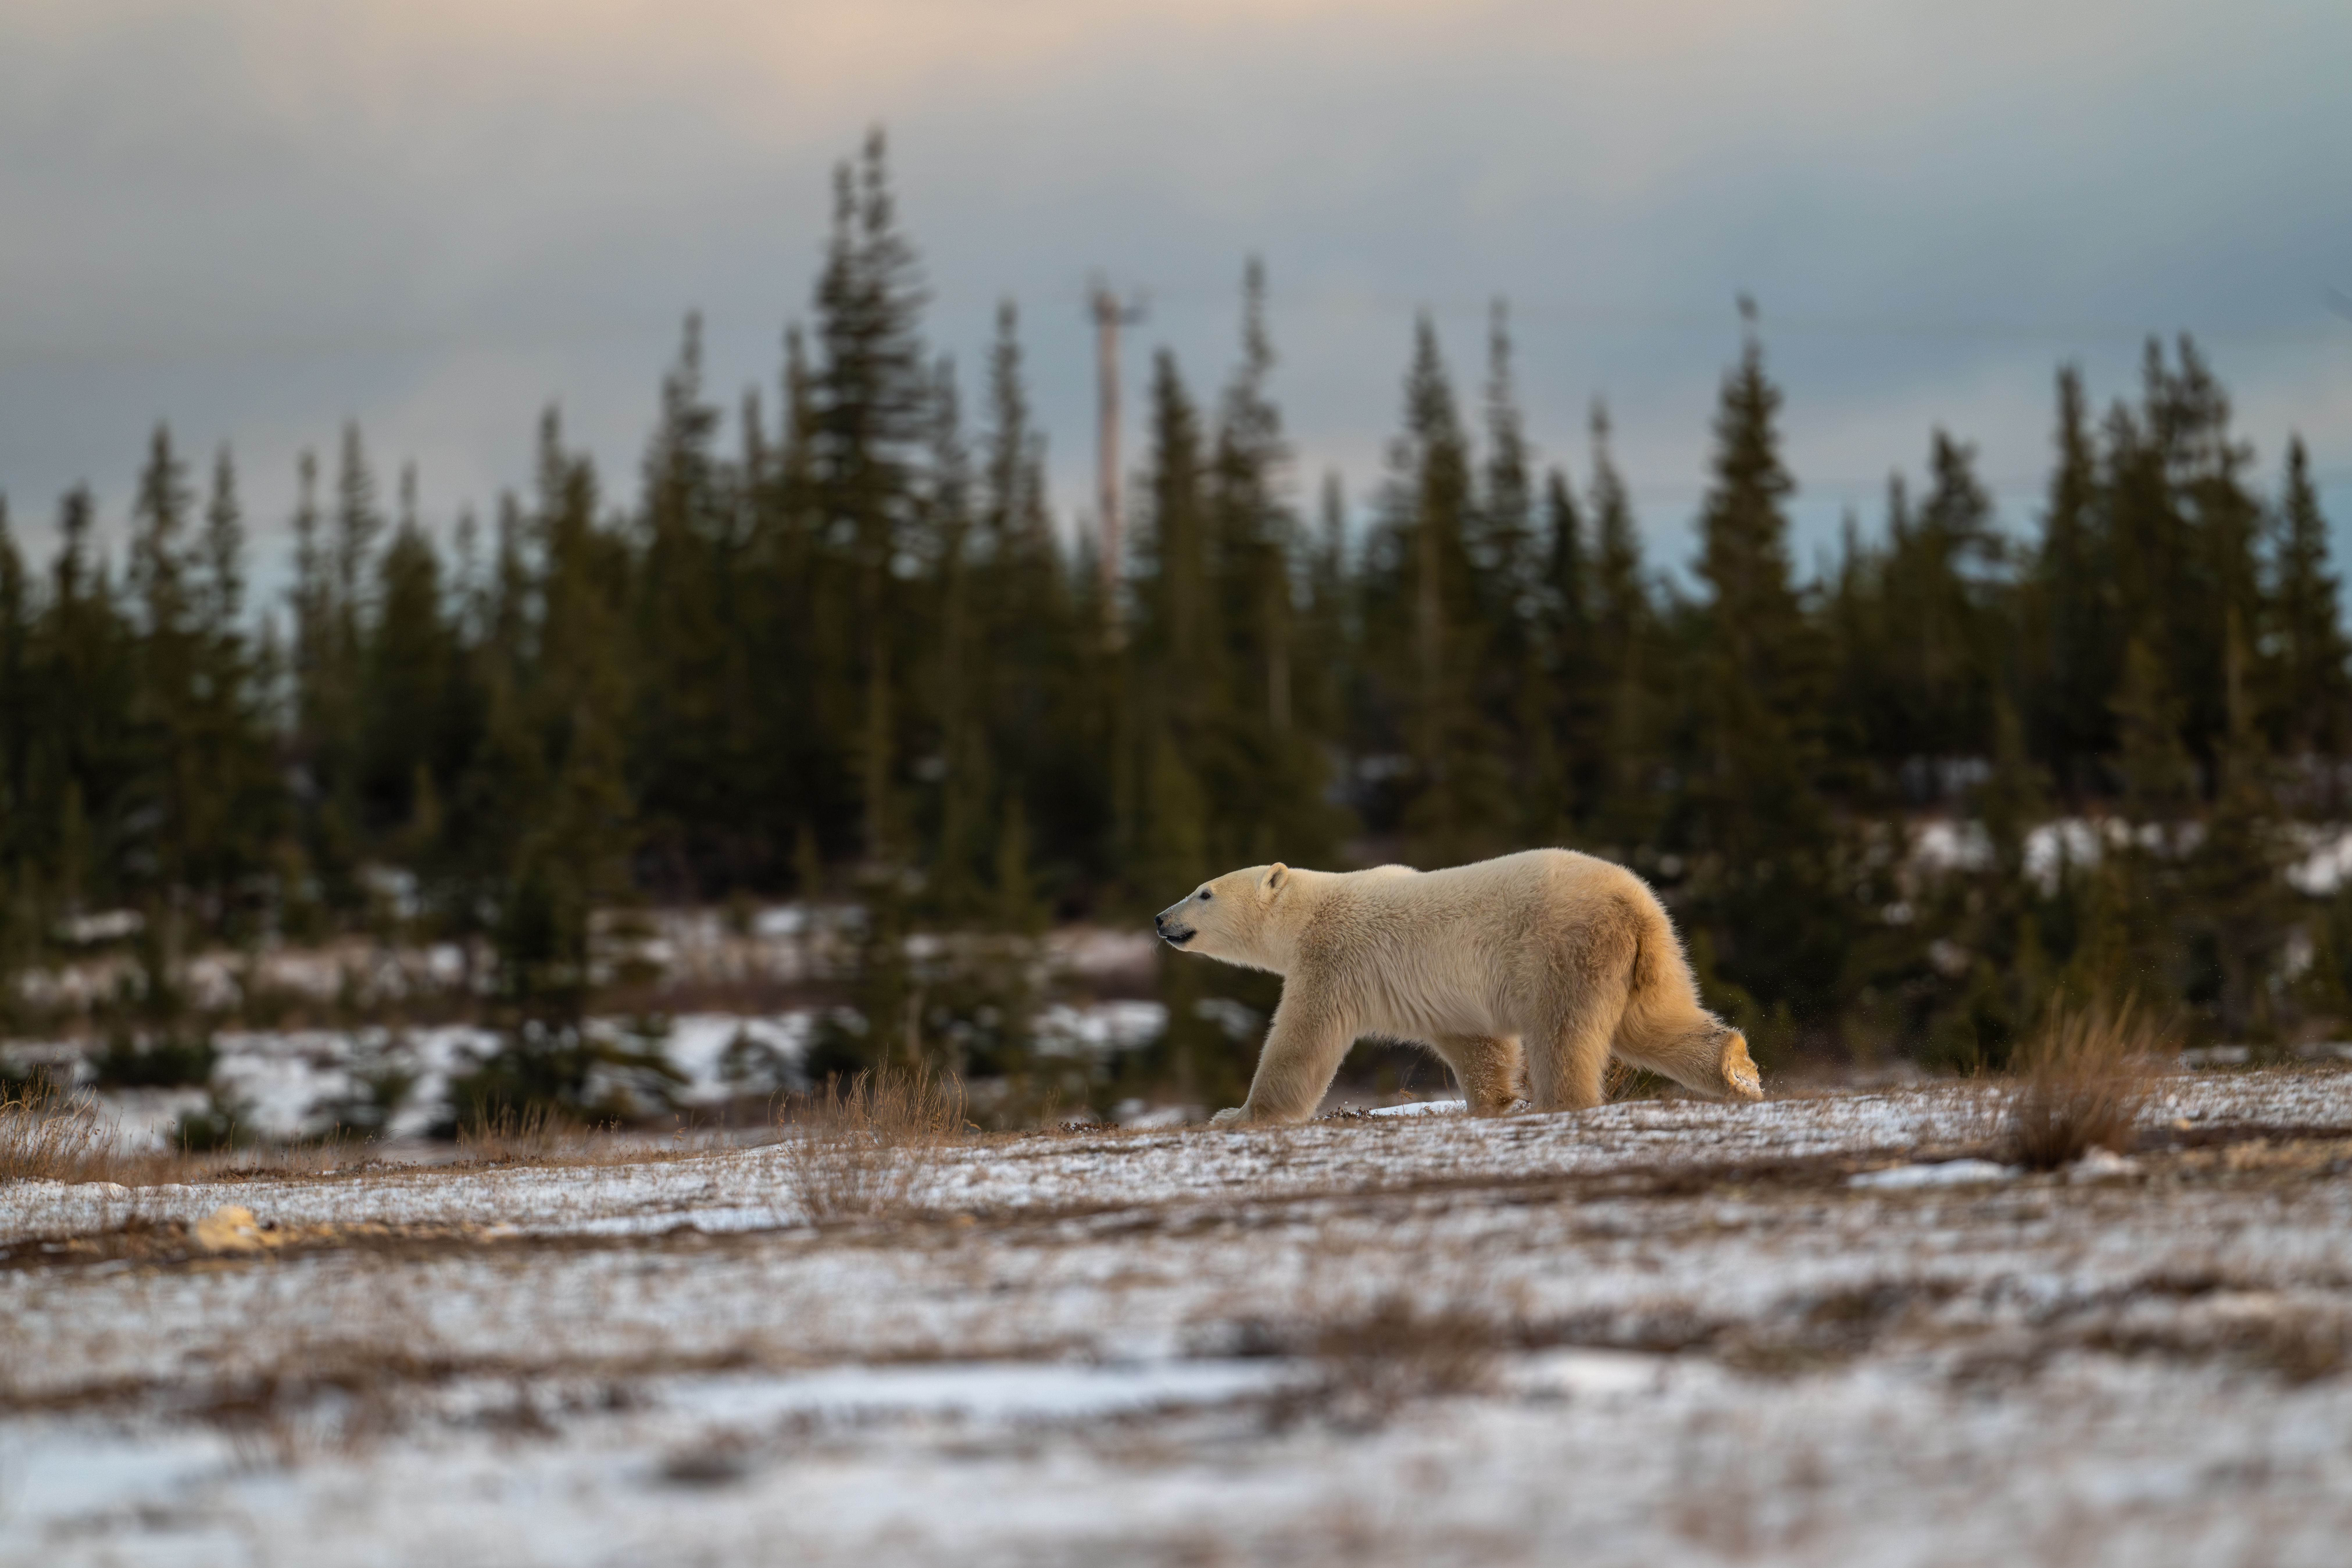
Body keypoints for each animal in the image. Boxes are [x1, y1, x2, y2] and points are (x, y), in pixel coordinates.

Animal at [1152, 848, 1762, 1126]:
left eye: (1204, 892)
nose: (1160, 919)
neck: (1310, 910)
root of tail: (1632, 902)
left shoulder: (1334, 958)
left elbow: (1302, 1040)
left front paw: (1237, 1116)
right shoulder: (1442, 999)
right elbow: (1476, 1045)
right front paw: (1491, 1103)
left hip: (1564, 948)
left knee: (1563, 1032)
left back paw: (1560, 1102)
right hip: (1652, 951)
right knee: (1655, 1021)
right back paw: (1735, 1070)